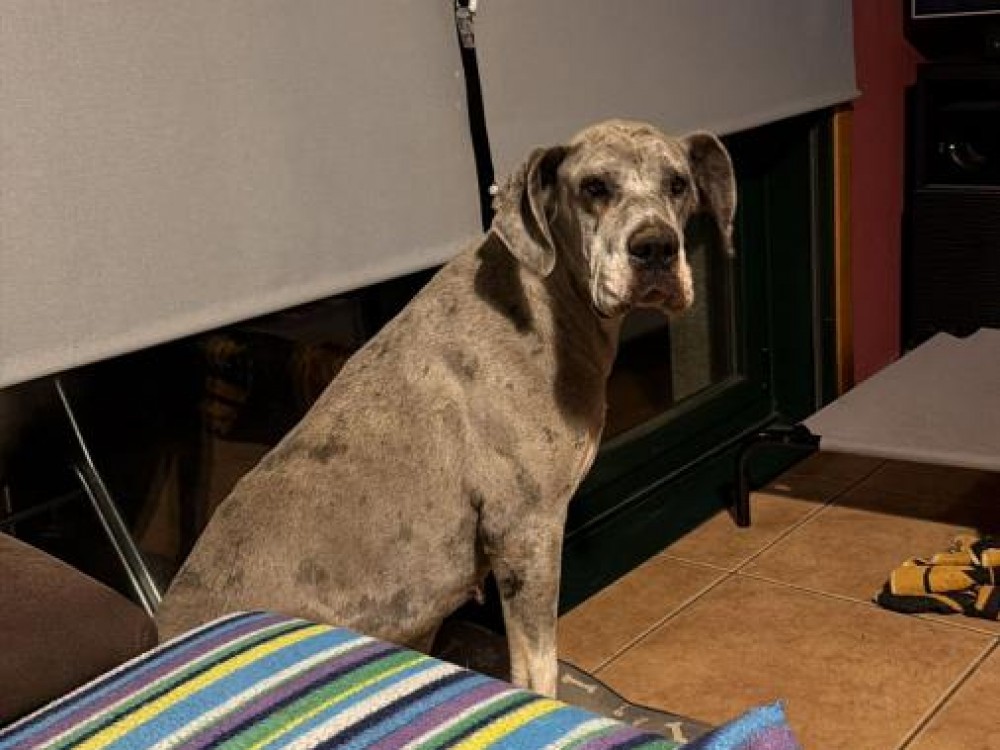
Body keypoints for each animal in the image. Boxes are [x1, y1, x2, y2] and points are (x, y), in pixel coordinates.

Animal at [155, 120, 735, 697]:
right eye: (594, 187)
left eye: (678, 184)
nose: (656, 246)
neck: (548, 299)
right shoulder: (526, 531)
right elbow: (537, 668)